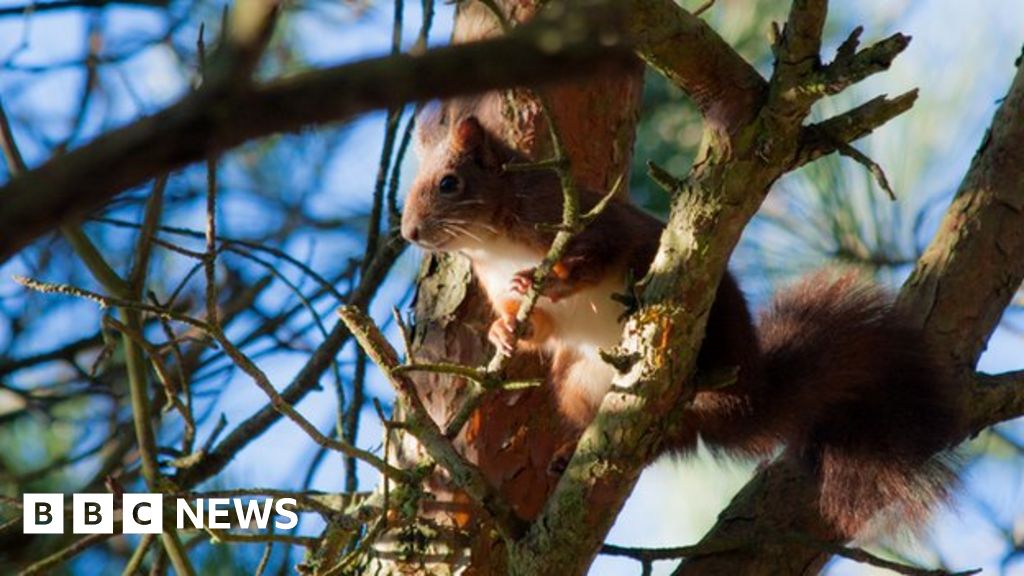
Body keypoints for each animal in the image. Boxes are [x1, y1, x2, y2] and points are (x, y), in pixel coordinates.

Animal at [401, 104, 966, 537]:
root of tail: (748, 397)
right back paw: (569, 453)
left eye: (449, 183)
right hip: (576, 380)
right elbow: (536, 328)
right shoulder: (496, 285)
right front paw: (503, 330)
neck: (494, 245)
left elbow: (596, 257)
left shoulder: (587, 222)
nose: (408, 232)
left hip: (713, 324)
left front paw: (552, 278)